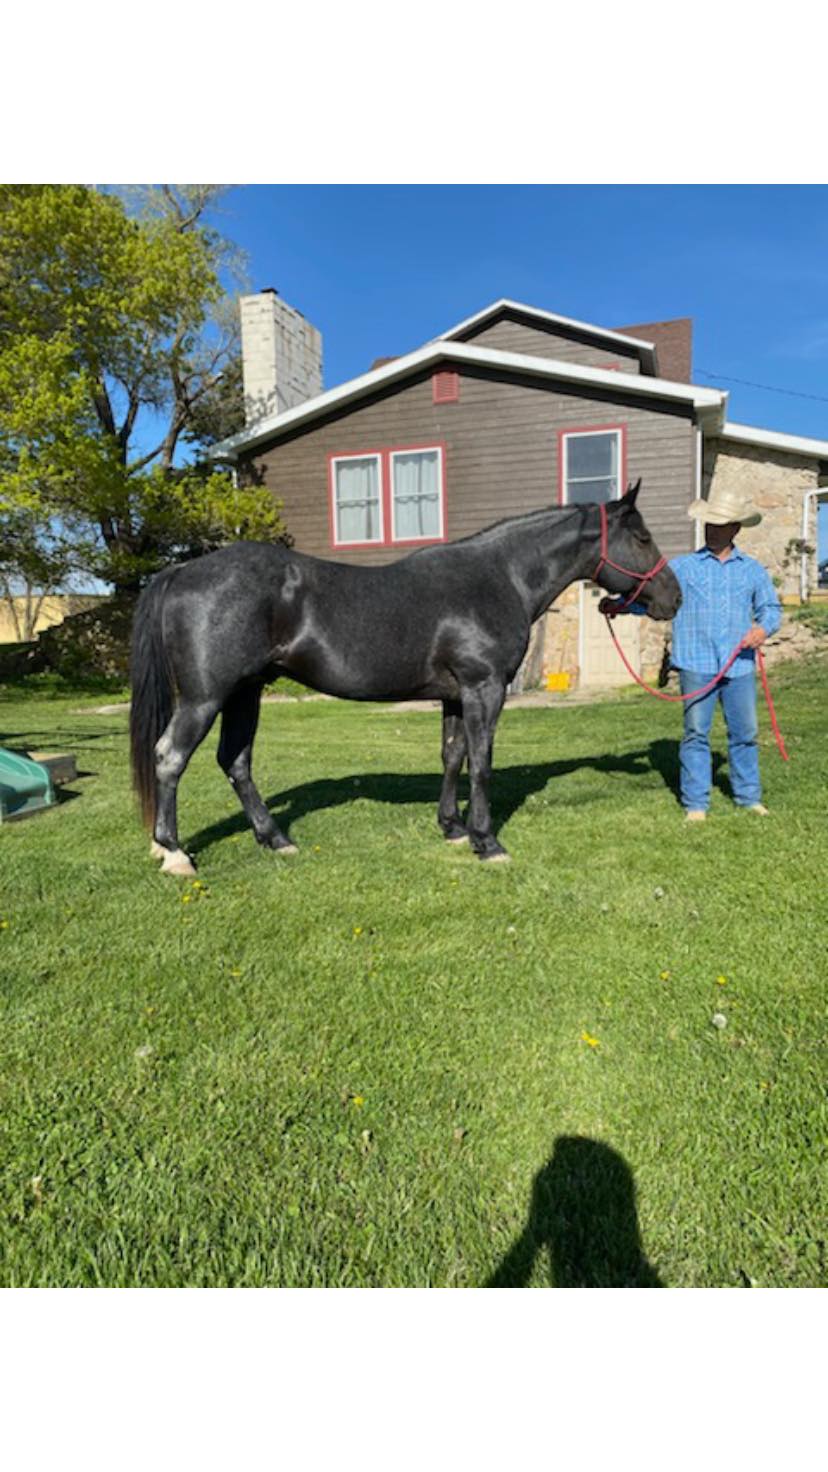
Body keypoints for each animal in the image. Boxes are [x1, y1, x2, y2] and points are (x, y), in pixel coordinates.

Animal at [129, 480, 681, 874]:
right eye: (643, 537)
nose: (674, 597)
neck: (499, 576)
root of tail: (182, 571)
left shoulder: (455, 696)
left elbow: (453, 756)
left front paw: (452, 828)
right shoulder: (484, 689)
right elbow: (481, 762)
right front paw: (487, 841)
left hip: (245, 693)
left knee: (236, 761)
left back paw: (275, 839)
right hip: (205, 697)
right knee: (170, 757)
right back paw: (173, 852)